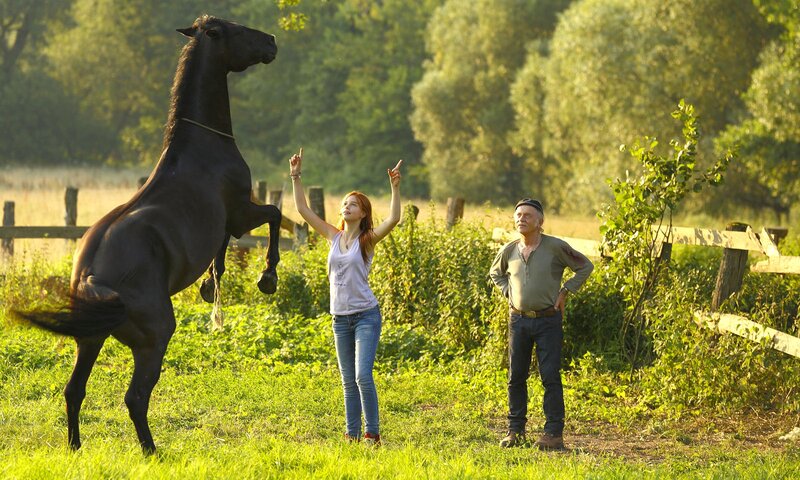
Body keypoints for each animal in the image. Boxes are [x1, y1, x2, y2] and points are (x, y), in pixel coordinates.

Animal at [14, 15, 280, 454]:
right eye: (237, 29)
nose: (272, 42)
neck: (202, 147)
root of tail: (92, 277)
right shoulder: (242, 212)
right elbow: (275, 216)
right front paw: (267, 276)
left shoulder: (226, 223)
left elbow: (222, 251)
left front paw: (210, 285)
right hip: (154, 337)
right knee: (135, 397)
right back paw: (152, 452)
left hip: (90, 340)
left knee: (73, 391)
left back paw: (76, 447)